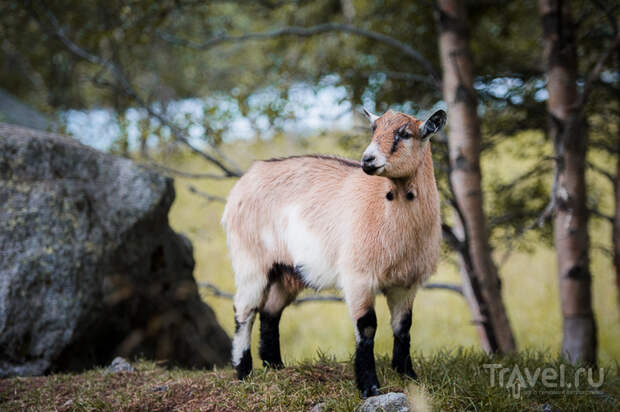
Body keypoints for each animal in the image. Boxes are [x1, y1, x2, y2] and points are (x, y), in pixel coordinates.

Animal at [223, 108, 446, 396]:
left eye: (405, 134)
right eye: (373, 129)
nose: (368, 160)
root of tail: (245, 181)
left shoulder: (407, 282)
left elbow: (403, 327)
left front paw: (409, 376)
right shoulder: (358, 277)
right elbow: (367, 327)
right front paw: (369, 386)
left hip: (287, 271)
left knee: (271, 311)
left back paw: (276, 367)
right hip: (251, 259)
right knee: (244, 309)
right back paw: (243, 372)